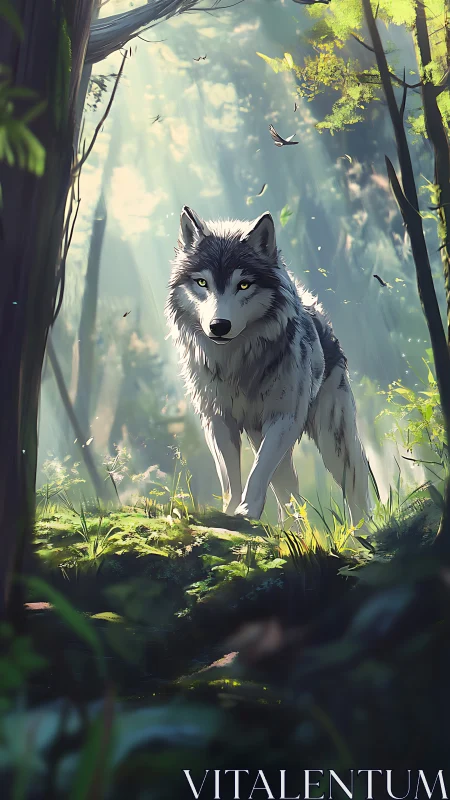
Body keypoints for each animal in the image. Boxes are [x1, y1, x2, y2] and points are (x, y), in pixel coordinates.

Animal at [165, 206, 370, 525]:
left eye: (244, 284)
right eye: (202, 283)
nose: (218, 326)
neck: (237, 364)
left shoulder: (284, 418)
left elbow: (258, 470)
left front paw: (247, 510)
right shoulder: (218, 421)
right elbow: (231, 479)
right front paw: (230, 512)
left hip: (333, 440)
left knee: (356, 485)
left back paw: (363, 531)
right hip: (263, 437)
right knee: (289, 494)